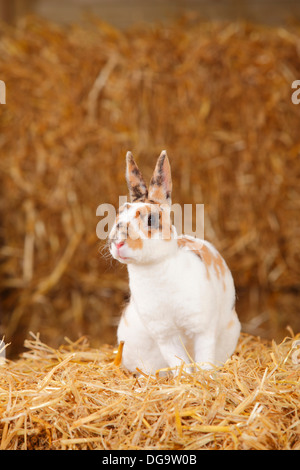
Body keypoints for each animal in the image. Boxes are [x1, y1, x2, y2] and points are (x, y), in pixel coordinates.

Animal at [109, 149, 240, 376]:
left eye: (151, 219)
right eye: (119, 213)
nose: (118, 242)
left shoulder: (202, 329)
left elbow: (204, 359)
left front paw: (204, 379)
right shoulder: (165, 335)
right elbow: (179, 362)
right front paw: (185, 379)